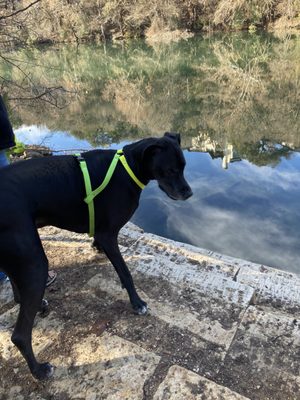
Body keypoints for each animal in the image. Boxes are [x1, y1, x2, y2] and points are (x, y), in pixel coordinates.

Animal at [0, 133, 192, 380]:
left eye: (184, 167)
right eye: (170, 170)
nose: (189, 193)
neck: (127, 167)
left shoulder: (103, 234)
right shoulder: (108, 235)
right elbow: (126, 273)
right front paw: (137, 303)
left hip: (20, 258)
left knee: (16, 289)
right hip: (35, 264)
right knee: (20, 335)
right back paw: (40, 370)